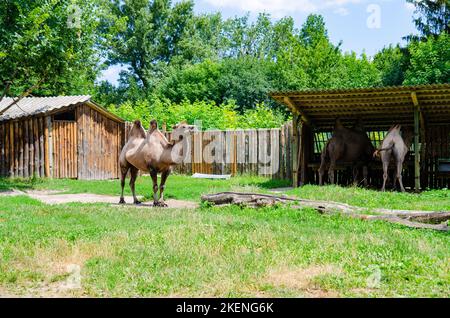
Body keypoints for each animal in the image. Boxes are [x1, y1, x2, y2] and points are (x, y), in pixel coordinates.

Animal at [270, 83, 450, 190]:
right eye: (412, 131)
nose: (417, 134)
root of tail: (329, 141)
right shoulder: (364, 160)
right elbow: (364, 172)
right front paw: (364, 185)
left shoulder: (356, 161)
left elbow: (356, 173)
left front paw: (357, 185)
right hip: (335, 153)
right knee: (331, 169)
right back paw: (333, 185)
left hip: (324, 154)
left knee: (321, 168)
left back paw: (321, 185)